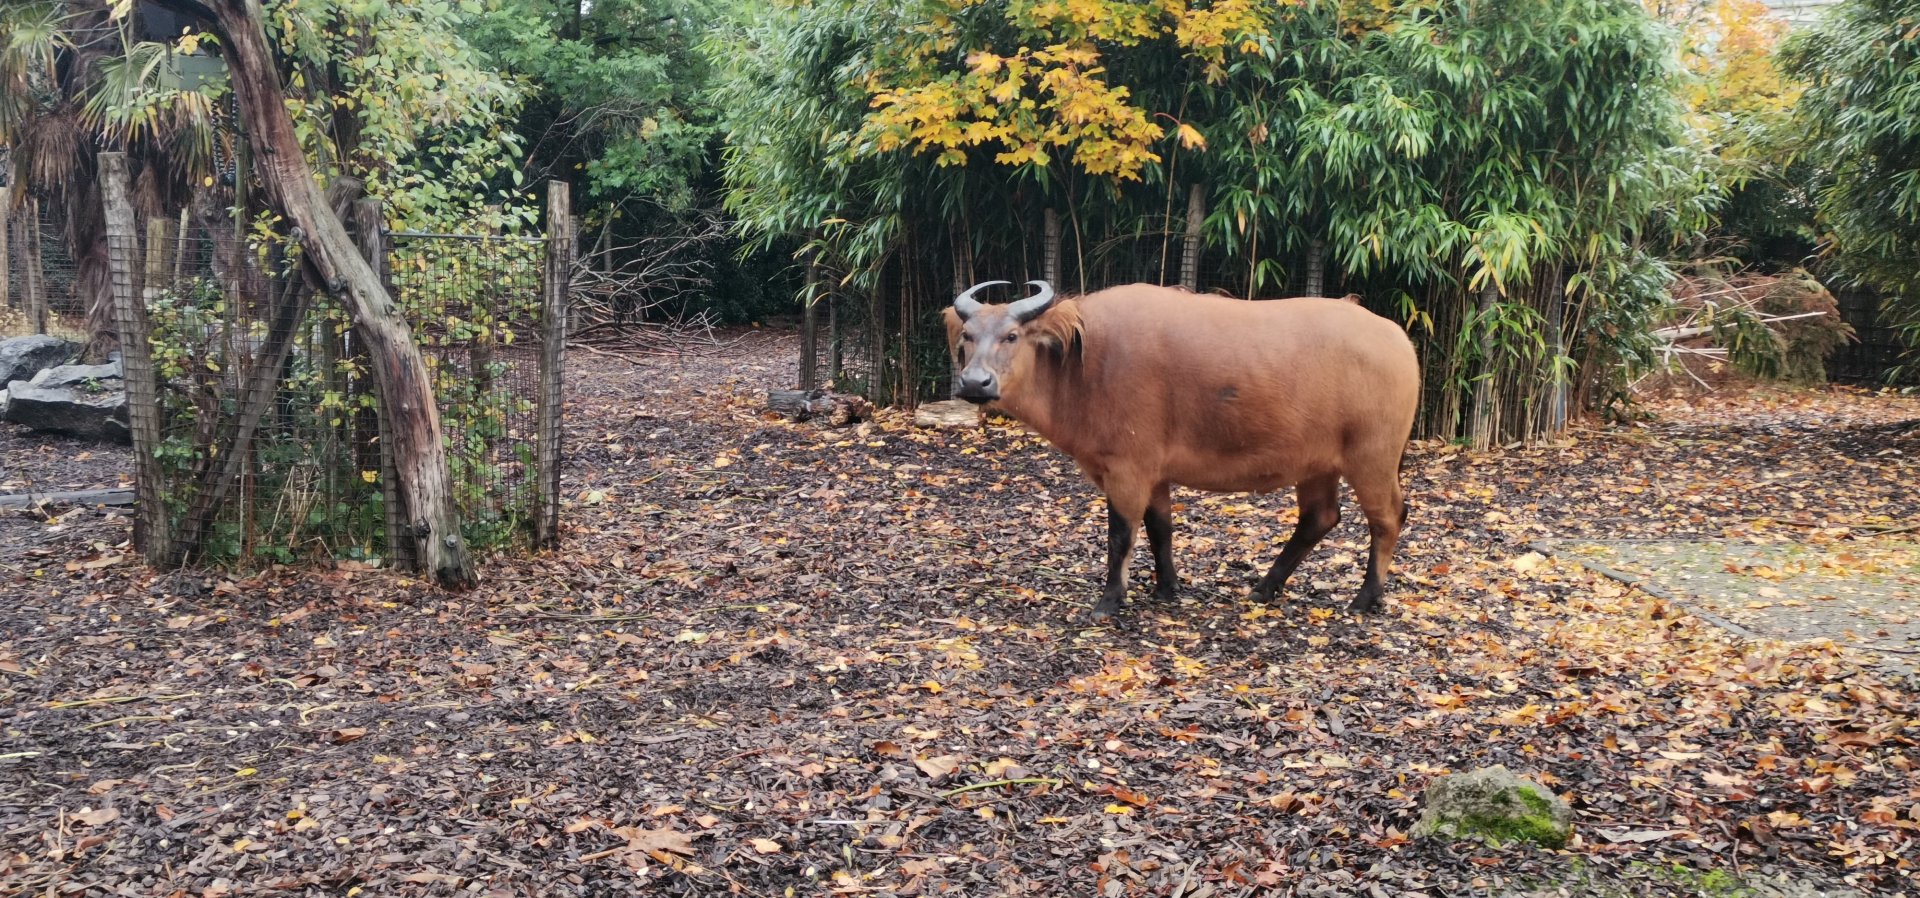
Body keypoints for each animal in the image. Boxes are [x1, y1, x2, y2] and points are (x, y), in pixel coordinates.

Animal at [945, 280, 1420, 621]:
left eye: (1011, 335)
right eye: (967, 335)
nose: (975, 383)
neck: (1082, 366)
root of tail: (1398, 339)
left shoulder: (1127, 470)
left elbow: (1121, 534)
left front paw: (1109, 601)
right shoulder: (1154, 472)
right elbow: (1160, 529)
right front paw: (1167, 587)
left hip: (1372, 457)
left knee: (1387, 518)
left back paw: (1366, 597)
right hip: (1318, 464)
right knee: (1319, 518)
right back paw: (1266, 587)